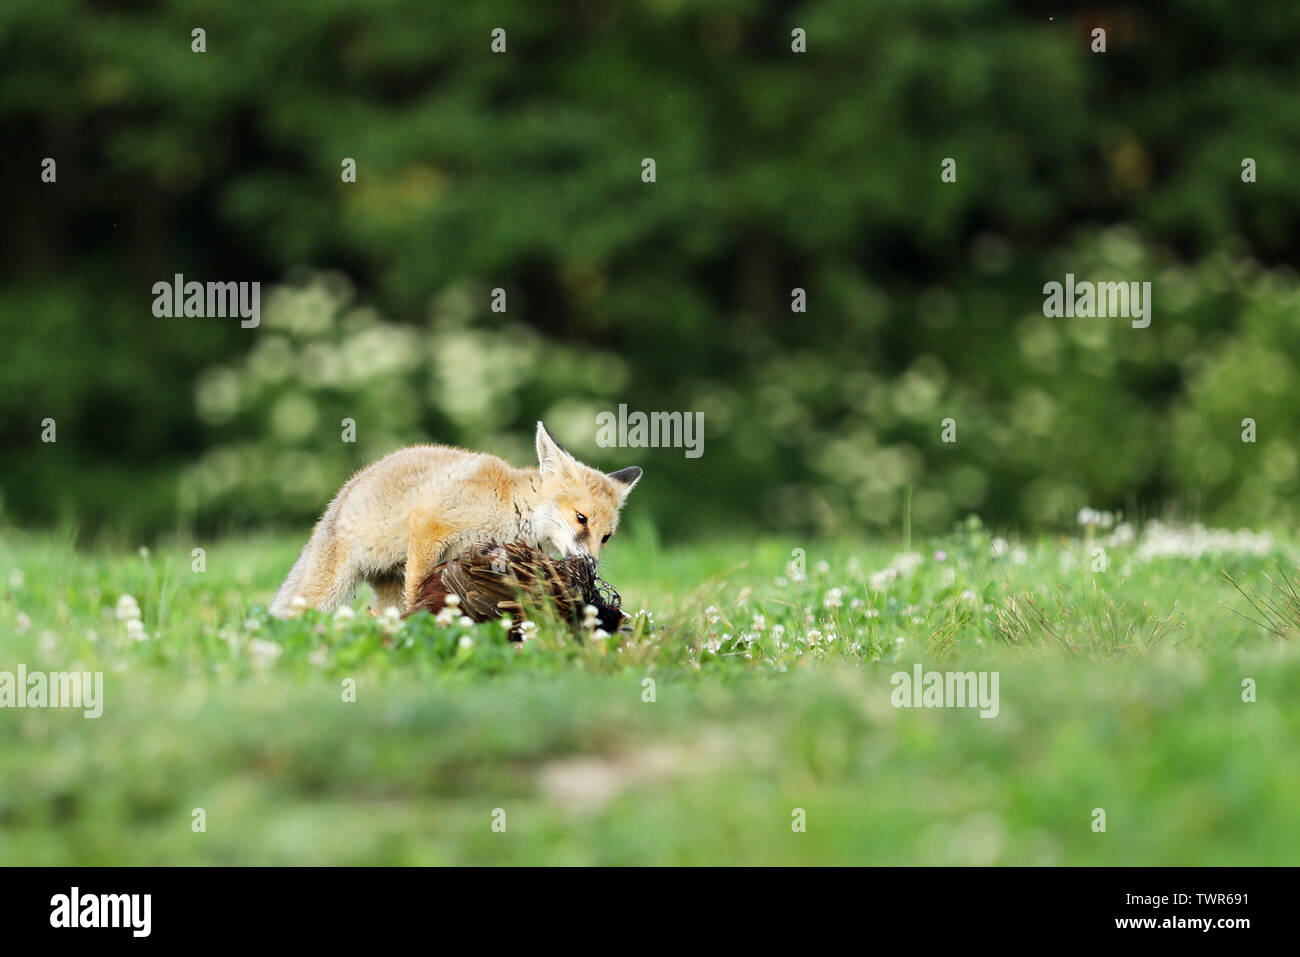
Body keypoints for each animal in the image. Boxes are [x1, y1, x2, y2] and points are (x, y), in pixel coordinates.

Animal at [269, 422, 641, 617]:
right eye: (581, 518)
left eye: (607, 537)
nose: (591, 566)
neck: (511, 506)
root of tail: (340, 499)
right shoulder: (431, 526)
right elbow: (418, 592)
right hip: (328, 591)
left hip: (384, 587)